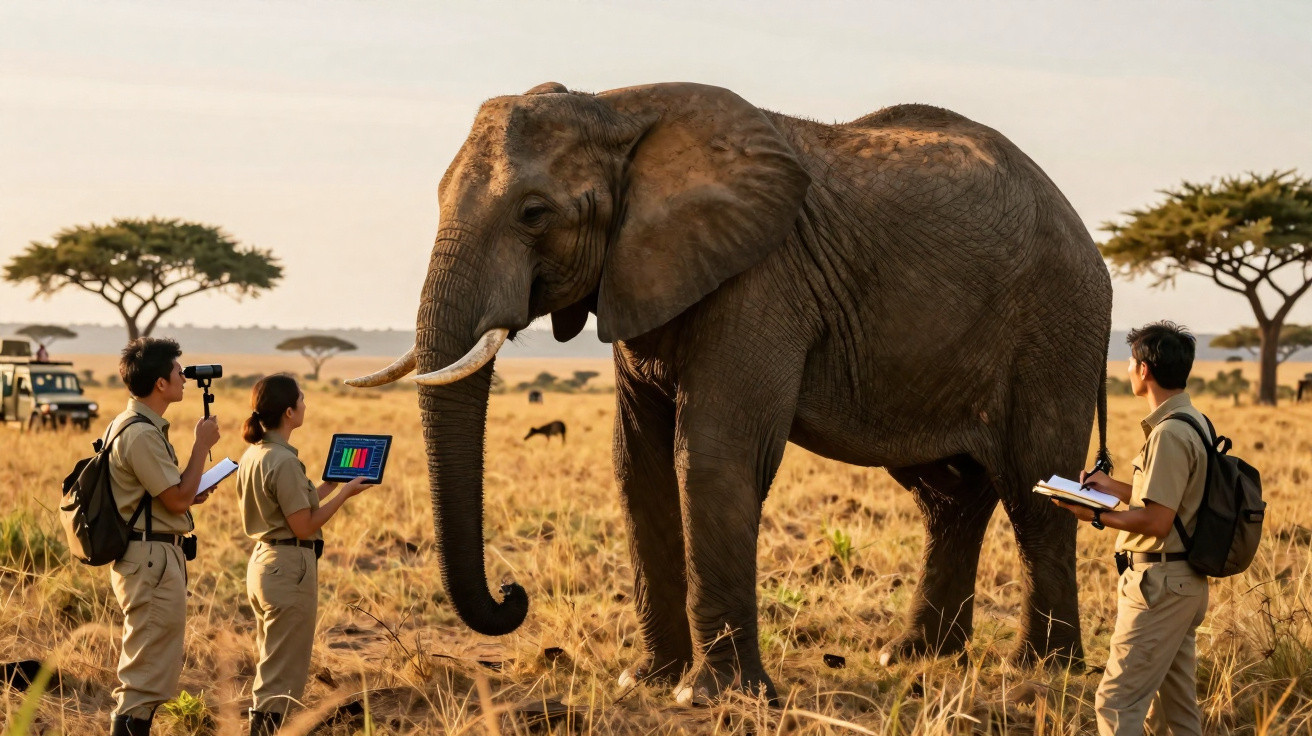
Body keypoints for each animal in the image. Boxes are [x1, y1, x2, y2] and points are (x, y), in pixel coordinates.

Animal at [350, 81, 1112, 704]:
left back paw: (1040, 671)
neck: (619, 110)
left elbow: (714, 455)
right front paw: (645, 682)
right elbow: (639, 465)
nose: (514, 595)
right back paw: (911, 659)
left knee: (1034, 486)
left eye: (534, 214)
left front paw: (709, 698)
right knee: (948, 495)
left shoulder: (761, 279)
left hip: (1056, 323)